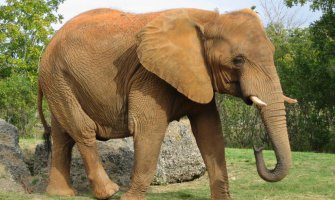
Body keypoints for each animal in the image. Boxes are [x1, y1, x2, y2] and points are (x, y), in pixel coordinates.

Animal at [38, 7, 298, 200]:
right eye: (238, 60)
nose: (257, 147)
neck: (208, 19)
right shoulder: (149, 75)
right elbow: (148, 127)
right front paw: (129, 198)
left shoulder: (196, 73)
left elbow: (209, 131)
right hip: (57, 77)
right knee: (82, 129)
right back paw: (109, 192)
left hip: (59, 81)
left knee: (62, 135)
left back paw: (61, 193)